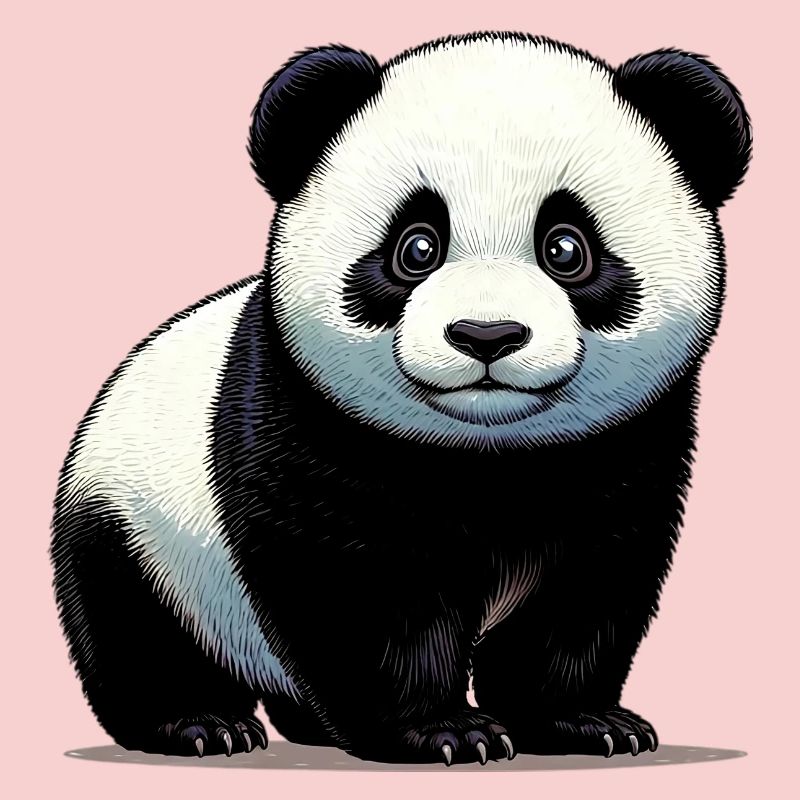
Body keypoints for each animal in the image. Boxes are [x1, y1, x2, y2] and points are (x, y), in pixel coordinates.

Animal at [51, 32, 751, 766]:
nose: (486, 334)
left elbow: (587, 586)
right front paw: (447, 731)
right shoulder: (309, 427)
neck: (492, 451)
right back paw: (199, 722)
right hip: (138, 525)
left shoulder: (624, 446)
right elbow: (364, 593)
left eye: (566, 248)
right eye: (417, 247)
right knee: (136, 627)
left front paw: (584, 720)